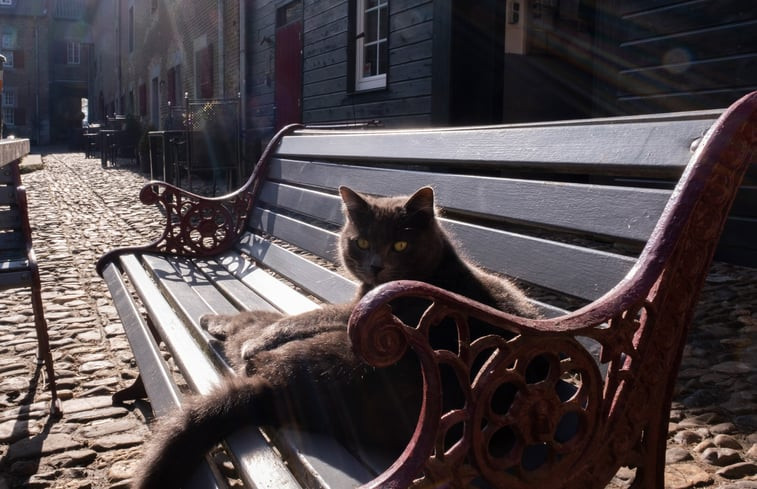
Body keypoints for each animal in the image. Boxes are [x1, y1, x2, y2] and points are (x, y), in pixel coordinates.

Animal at [133, 185, 540, 486]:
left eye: (400, 245)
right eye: (361, 243)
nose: (375, 266)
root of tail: (271, 390)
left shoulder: (352, 313)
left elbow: (305, 316)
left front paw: (261, 335)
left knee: (252, 330)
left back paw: (219, 324)